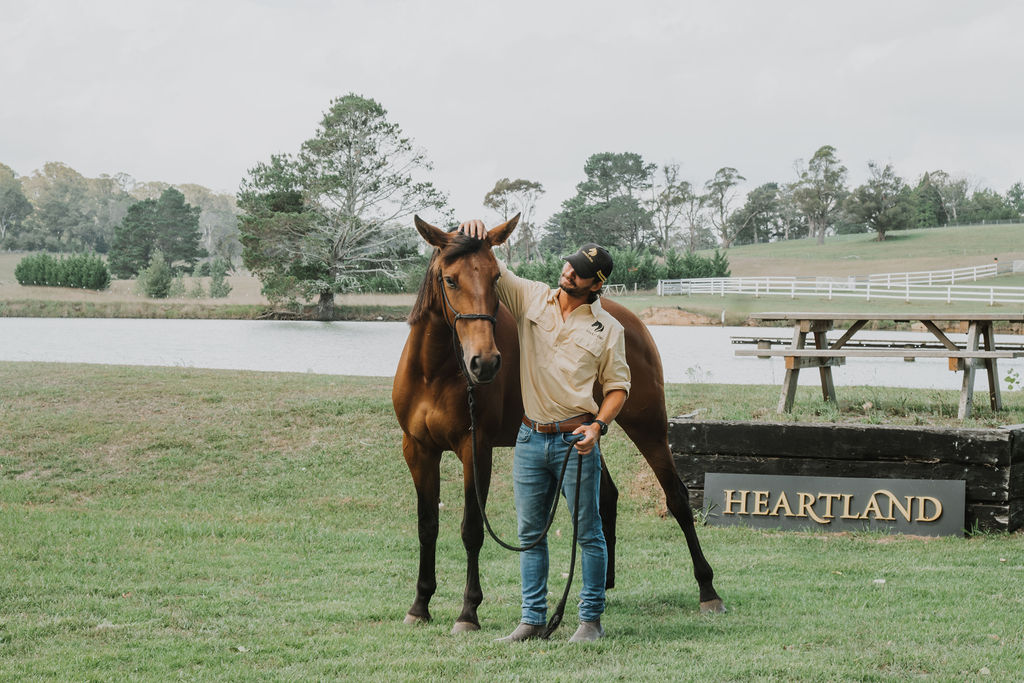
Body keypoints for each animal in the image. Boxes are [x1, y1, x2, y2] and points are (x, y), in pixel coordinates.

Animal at [392, 214, 724, 634]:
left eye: (495, 277)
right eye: (450, 279)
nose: (484, 363)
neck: (434, 371)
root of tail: (629, 321)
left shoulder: (475, 449)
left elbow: (471, 529)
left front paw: (468, 612)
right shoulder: (418, 450)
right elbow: (427, 525)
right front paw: (420, 605)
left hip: (648, 427)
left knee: (677, 498)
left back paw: (708, 590)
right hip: (587, 437)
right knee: (605, 498)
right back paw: (601, 586)